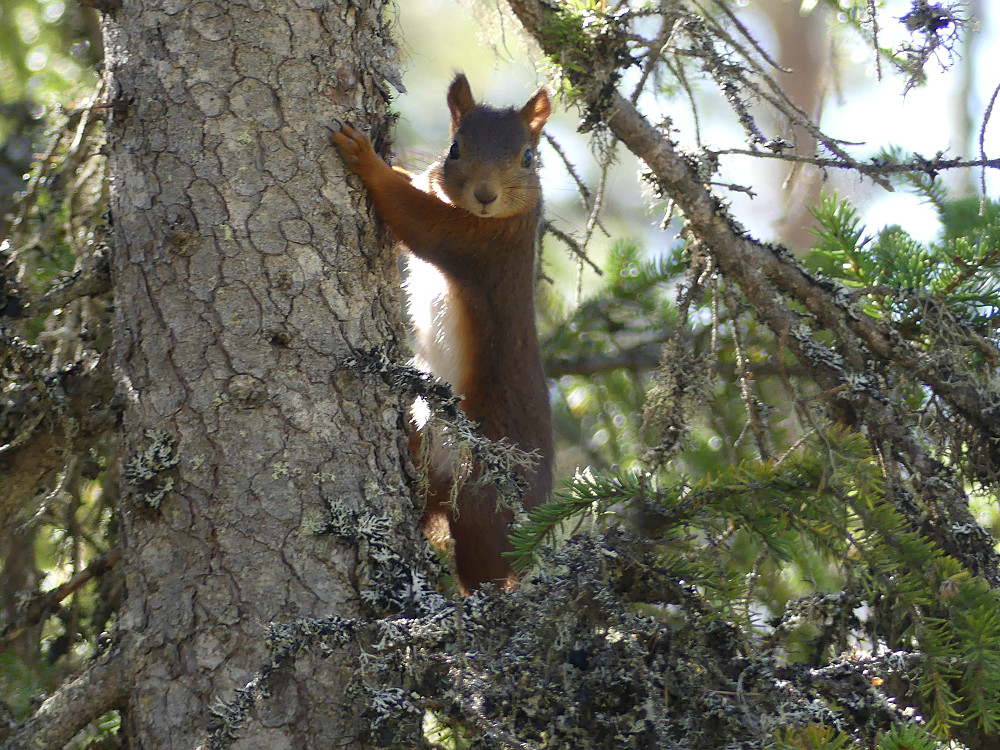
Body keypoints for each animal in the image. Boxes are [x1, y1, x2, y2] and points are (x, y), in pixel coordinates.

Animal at [334, 75, 556, 592]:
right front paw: (393, 163)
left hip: (476, 493)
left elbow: (413, 216)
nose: (485, 195)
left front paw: (365, 159)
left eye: (528, 157)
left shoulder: (480, 247)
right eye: (455, 148)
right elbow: (415, 186)